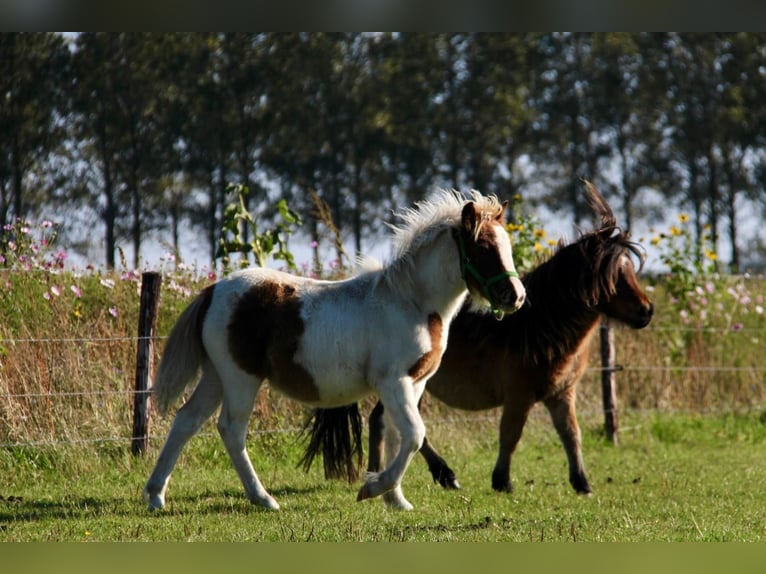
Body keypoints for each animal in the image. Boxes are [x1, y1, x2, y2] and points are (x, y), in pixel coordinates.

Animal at [144, 190, 528, 512]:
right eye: (483, 248)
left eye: (507, 247)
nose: (516, 296)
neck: (412, 302)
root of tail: (212, 291)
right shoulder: (393, 382)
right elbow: (414, 434)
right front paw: (372, 488)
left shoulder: (414, 383)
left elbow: (397, 434)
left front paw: (396, 500)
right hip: (241, 378)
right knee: (231, 429)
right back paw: (263, 499)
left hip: (216, 376)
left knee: (186, 421)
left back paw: (156, 495)